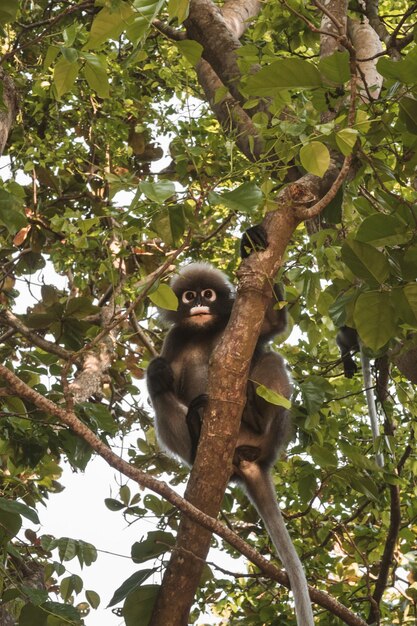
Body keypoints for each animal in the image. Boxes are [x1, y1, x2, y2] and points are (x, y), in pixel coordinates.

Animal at [146, 227, 312, 620]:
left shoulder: (240, 321)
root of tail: (251, 462)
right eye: (188, 296)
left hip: (268, 437)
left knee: (271, 359)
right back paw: (195, 433)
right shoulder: (175, 339)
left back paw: (254, 415)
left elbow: (273, 325)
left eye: (207, 294)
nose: (198, 305)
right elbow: (164, 379)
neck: (204, 329)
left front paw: (250, 244)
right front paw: (157, 371)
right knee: (165, 399)